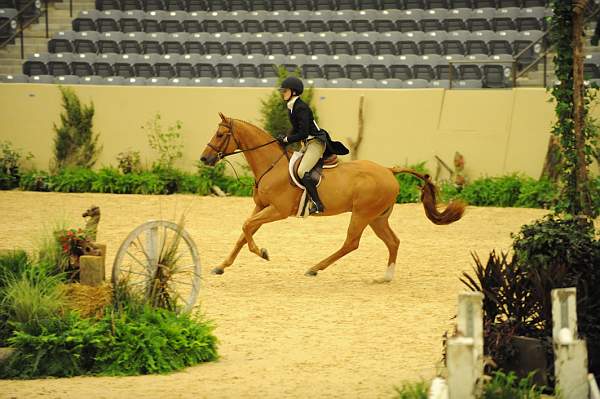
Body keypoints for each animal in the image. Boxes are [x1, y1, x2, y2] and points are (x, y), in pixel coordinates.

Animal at [199, 112, 466, 282]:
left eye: (220, 134)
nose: (204, 159)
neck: (271, 165)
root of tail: (389, 170)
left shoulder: (278, 210)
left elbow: (246, 228)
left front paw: (262, 252)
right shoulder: (261, 207)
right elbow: (243, 232)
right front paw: (221, 266)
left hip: (362, 214)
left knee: (352, 243)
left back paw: (315, 268)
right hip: (377, 217)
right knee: (393, 241)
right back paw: (386, 276)